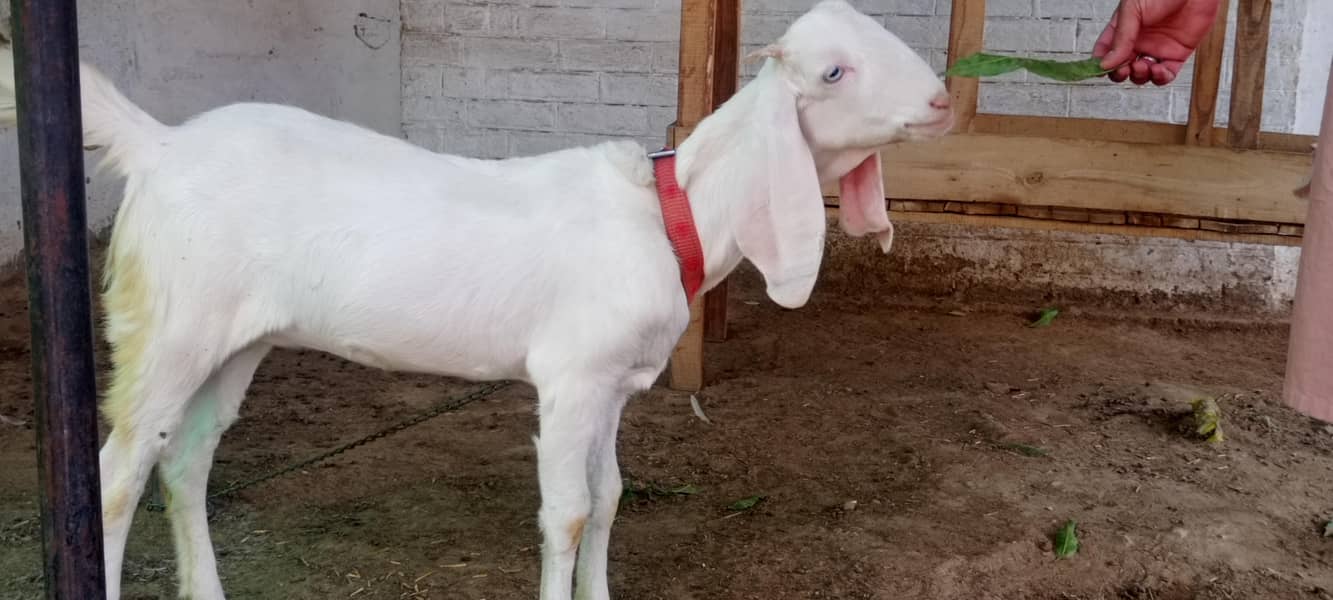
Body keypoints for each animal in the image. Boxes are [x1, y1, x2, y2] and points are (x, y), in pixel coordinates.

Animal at [0, 1, 951, 598]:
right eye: (833, 72)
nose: (943, 100)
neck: (668, 214)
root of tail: (157, 146)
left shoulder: (611, 383)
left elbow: (610, 496)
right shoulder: (568, 379)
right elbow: (568, 513)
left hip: (236, 338)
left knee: (186, 459)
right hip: (170, 321)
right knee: (114, 474)